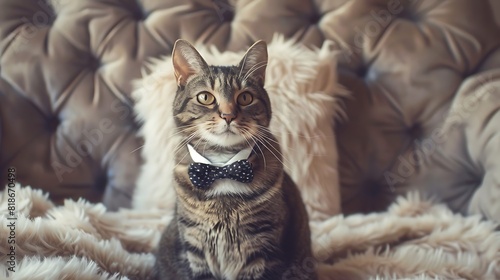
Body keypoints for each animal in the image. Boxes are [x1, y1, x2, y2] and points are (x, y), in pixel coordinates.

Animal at [153, 39, 316, 280]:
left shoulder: (263, 247)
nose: (228, 115)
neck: (223, 166)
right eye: (205, 97)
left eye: (245, 97)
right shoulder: (195, 247)